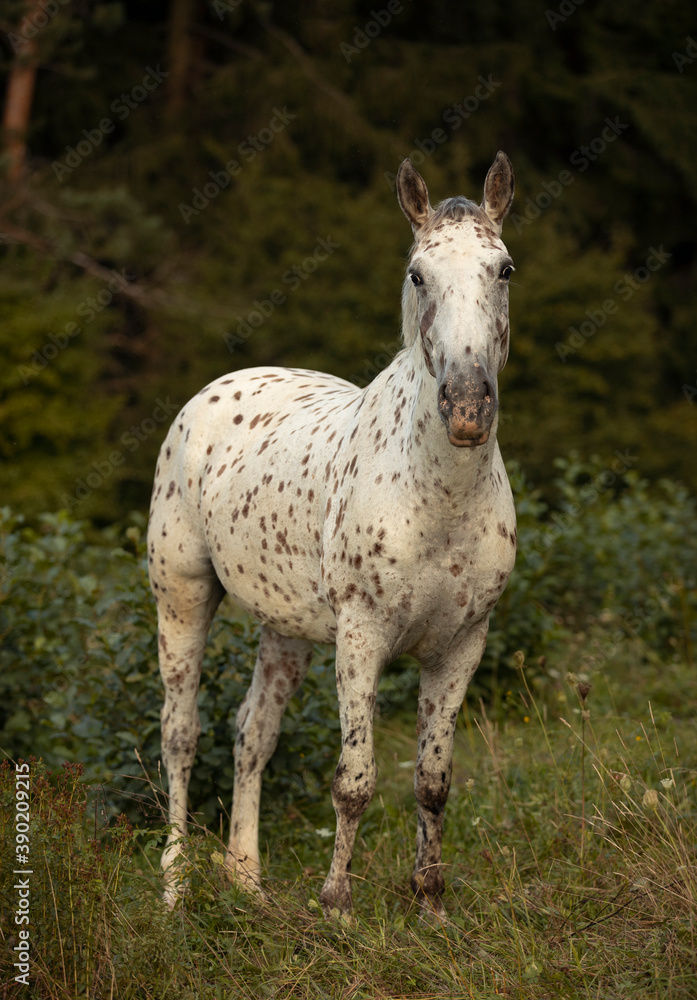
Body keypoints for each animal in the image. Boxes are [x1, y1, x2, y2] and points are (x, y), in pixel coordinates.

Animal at [147, 152, 517, 917]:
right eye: (417, 273)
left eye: (503, 269)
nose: (467, 407)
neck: (437, 499)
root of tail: (213, 391)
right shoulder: (361, 638)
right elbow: (354, 780)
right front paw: (337, 904)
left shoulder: (461, 645)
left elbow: (432, 782)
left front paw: (430, 904)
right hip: (182, 598)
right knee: (179, 734)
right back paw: (174, 887)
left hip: (283, 630)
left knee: (252, 732)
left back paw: (246, 879)